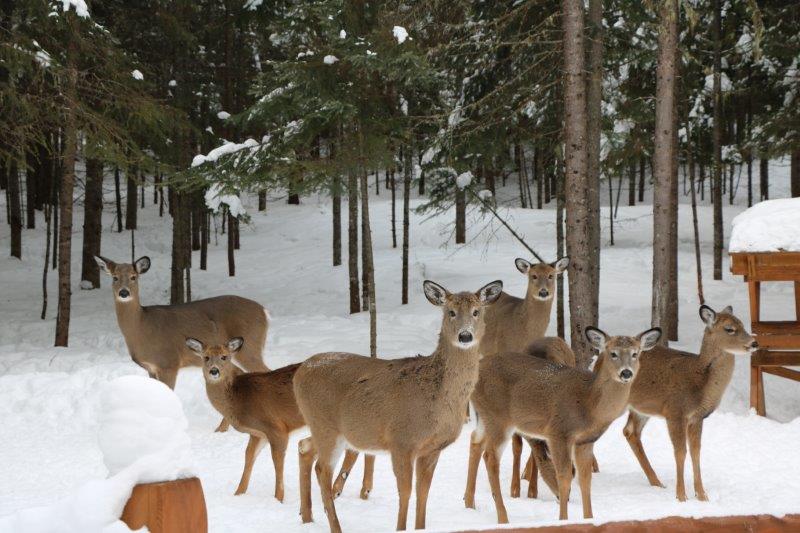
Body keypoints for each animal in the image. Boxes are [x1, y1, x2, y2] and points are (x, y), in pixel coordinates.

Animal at [95, 256, 270, 388]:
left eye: (133, 277)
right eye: (114, 277)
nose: (124, 292)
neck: (142, 328)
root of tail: (264, 311)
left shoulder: (169, 362)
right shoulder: (151, 368)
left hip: (249, 346)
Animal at [294, 280, 504, 528]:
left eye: (476, 311)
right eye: (451, 312)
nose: (465, 336)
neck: (438, 400)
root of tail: (299, 372)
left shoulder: (432, 448)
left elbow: (423, 493)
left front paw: (420, 527)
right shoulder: (401, 441)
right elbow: (405, 492)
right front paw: (401, 528)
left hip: (326, 429)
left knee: (304, 446)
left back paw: (306, 516)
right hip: (325, 426)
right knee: (322, 469)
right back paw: (334, 526)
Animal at [462, 324, 664, 520]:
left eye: (635, 353)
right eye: (612, 353)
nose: (626, 373)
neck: (589, 404)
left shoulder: (585, 441)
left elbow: (585, 479)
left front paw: (589, 518)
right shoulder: (558, 432)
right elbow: (565, 477)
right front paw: (563, 519)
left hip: (484, 416)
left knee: (475, 441)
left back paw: (469, 503)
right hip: (499, 418)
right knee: (490, 457)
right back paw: (503, 517)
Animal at [620, 306, 760, 500]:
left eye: (743, 325)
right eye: (729, 329)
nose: (754, 343)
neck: (700, 381)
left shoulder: (697, 417)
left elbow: (696, 452)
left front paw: (702, 495)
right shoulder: (675, 412)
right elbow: (680, 452)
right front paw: (681, 496)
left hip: (641, 408)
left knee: (630, 431)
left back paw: (656, 482)